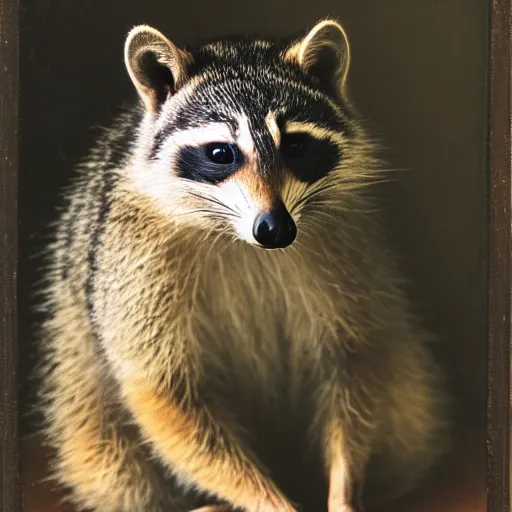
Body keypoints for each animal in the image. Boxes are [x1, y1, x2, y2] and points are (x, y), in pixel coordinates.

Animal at [38, 18, 450, 512]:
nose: (275, 228)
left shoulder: (352, 247)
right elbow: (166, 393)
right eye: (221, 153)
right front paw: (263, 497)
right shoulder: (131, 264)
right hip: (79, 386)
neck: (244, 240)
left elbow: (355, 359)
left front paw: (345, 482)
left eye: (296, 146)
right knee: (107, 454)